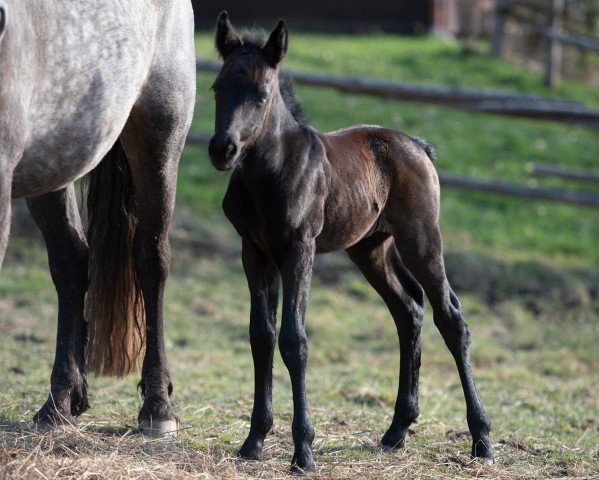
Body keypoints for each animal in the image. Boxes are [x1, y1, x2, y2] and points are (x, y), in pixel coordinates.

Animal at [0, 0, 196, 436]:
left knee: (151, 259)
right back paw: (60, 401)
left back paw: (157, 407)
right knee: (71, 261)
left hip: (159, 134)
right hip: (52, 163)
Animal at [209, 11, 494, 472]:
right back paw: (397, 430)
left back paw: (482, 438)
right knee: (408, 310)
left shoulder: (299, 249)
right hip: (370, 248)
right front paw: (254, 441)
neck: (268, 173)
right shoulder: (254, 252)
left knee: (450, 316)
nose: (223, 149)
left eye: (262, 93)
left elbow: (293, 339)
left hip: (421, 240)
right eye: (218, 87)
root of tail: (419, 147)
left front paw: (303, 451)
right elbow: (261, 336)